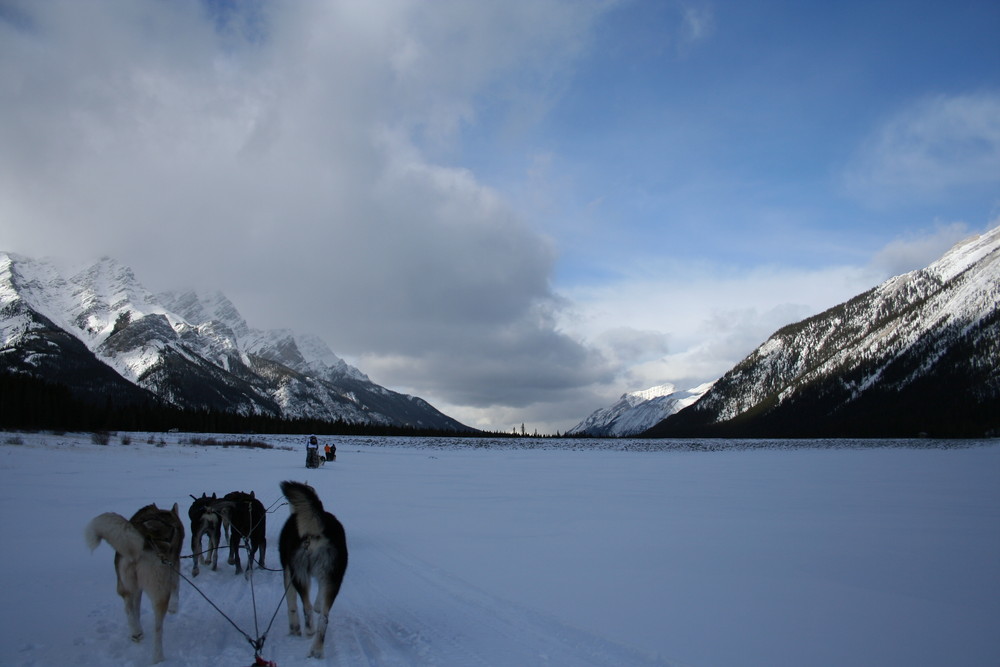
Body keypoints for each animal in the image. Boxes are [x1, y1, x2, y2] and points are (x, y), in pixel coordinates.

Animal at [85, 504, 185, 664]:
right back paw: (158, 657)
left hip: (125, 583)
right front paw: (174, 607)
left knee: (128, 605)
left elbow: (136, 607)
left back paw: (136, 631)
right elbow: (176, 586)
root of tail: (143, 538)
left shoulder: (138, 588)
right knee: (158, 628)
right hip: (160, 593)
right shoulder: (175, 564)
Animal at [278, 482, 348, 660]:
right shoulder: (325, 578)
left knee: (306, 607)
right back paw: (317, 649)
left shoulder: (288, 573)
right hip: (334, 577)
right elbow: (319, 598)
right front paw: (318, 605)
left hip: (299, 574)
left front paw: (294, 628)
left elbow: (291, 605)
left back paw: (309, 630)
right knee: (324, 617)